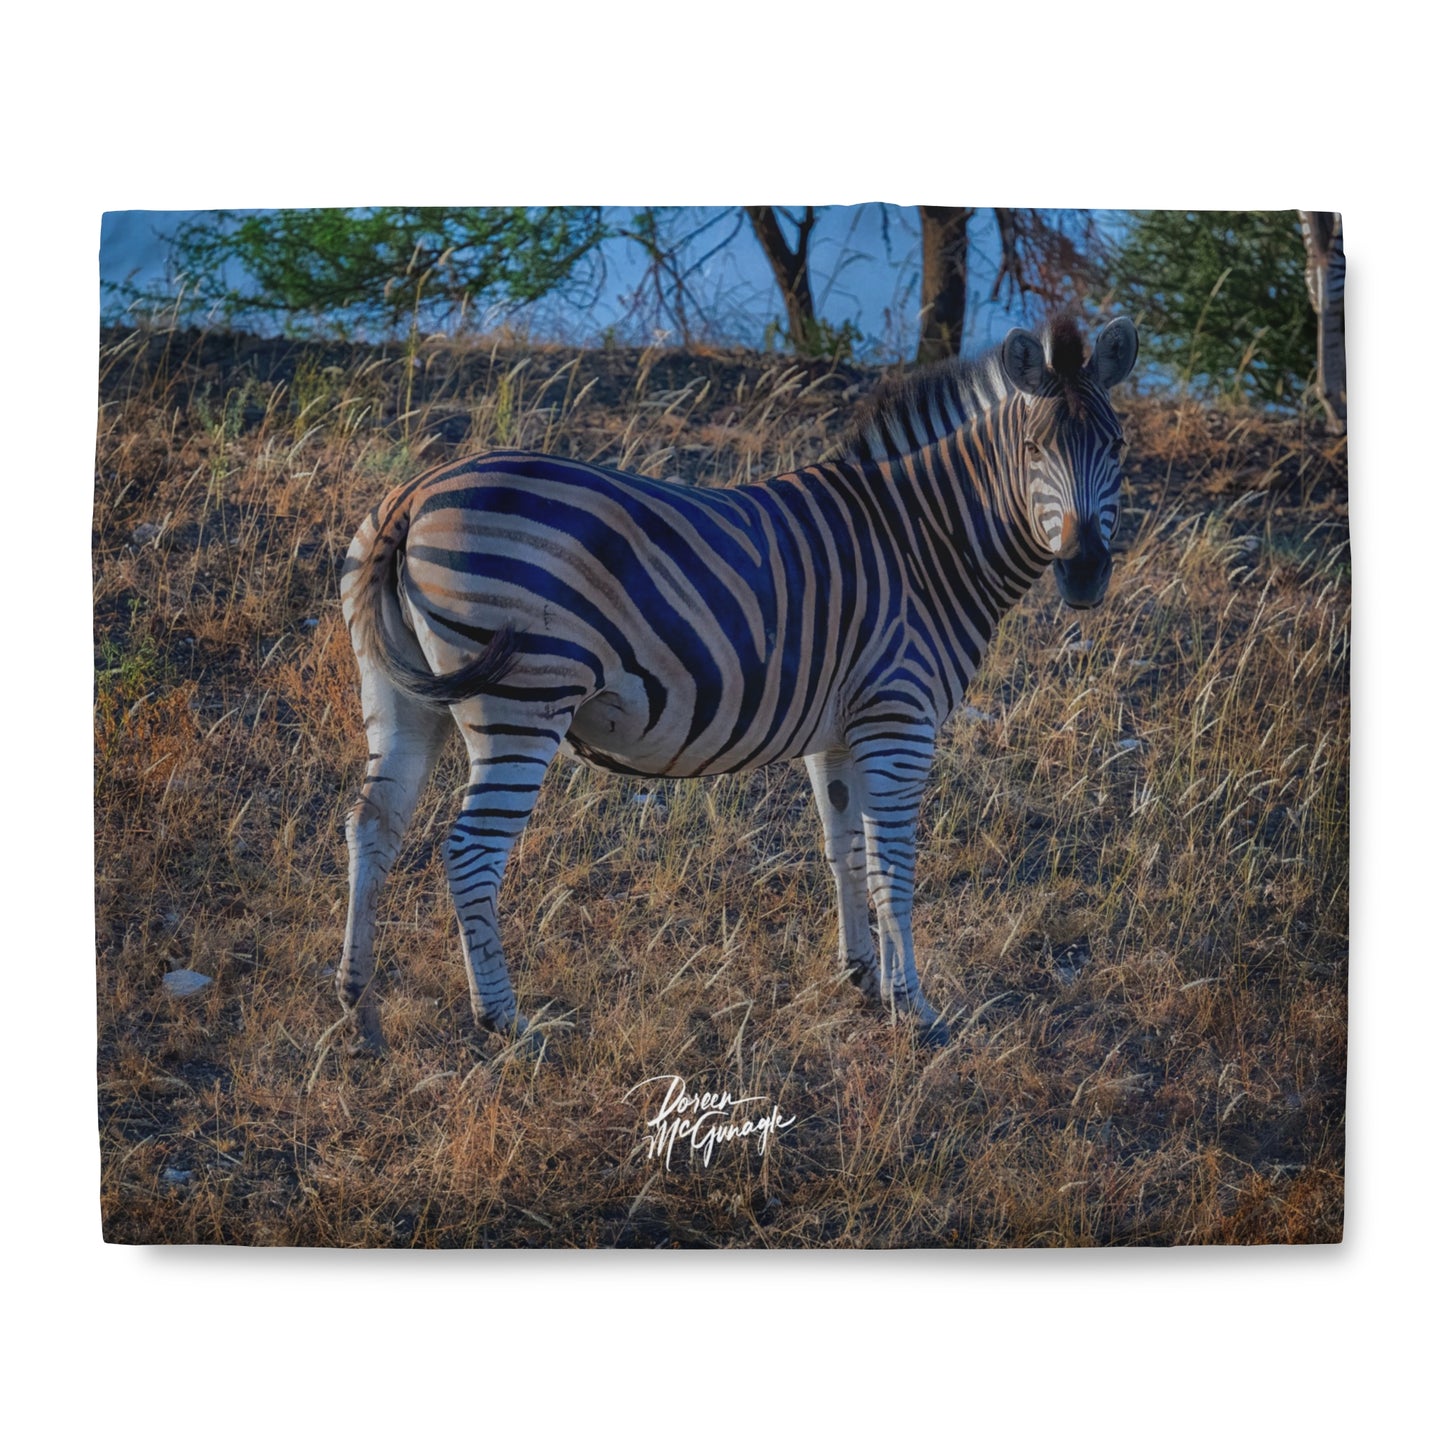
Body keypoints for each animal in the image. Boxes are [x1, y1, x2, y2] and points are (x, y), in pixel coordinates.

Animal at [335, 314, 1138, 1055]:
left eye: (1117, 448)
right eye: (1034, 450)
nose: (1085, 572)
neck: (923, 545)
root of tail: (414, 494)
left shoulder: (839, 732)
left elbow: (844, 850)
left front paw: (862, 978)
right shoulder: (898, 720)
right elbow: (892, 866)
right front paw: (914, 1007)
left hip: (399, 695)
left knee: (372, 824)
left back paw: (359, 1002)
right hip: (522, 701)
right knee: (470, 853)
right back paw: (505, 1021)